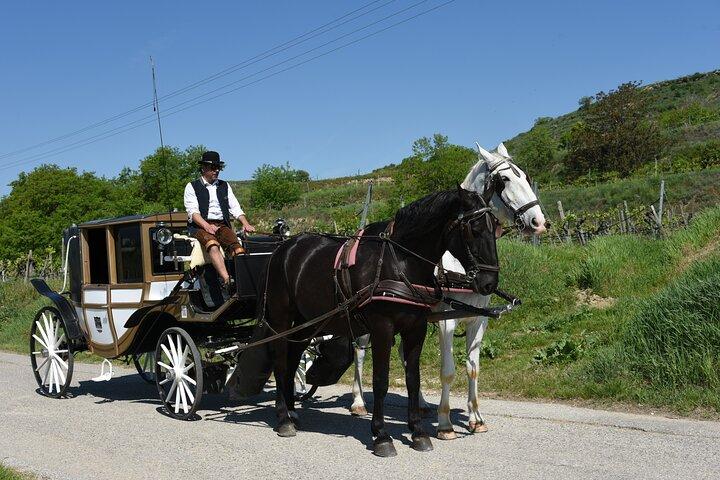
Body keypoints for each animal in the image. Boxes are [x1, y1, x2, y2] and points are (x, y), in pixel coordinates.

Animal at [261, 187, 499, 457]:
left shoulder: (416, 329)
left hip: (308, 322)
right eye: (474, 229)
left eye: (495, 228)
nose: (490, 282)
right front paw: (381, 435)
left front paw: (418, 432)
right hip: (281, 319)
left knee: (293, 361)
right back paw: (283, 418)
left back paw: (292, 412)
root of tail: (284, 248)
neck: (399, 262)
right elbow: (380, 381)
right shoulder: (382, 328)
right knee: (281, 363)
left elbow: (412, 379)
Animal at [349, 142, 547, 439]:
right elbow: (448, 371)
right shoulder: (447, 320)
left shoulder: (478, 318)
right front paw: (445, 424)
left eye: (525, 175)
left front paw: (476, 418)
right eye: (504, 179)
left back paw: (419, 404)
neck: (458, 263)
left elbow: (473, 369)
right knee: (360, 352)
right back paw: (358, 401)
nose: (539, 222)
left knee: (405, 357)